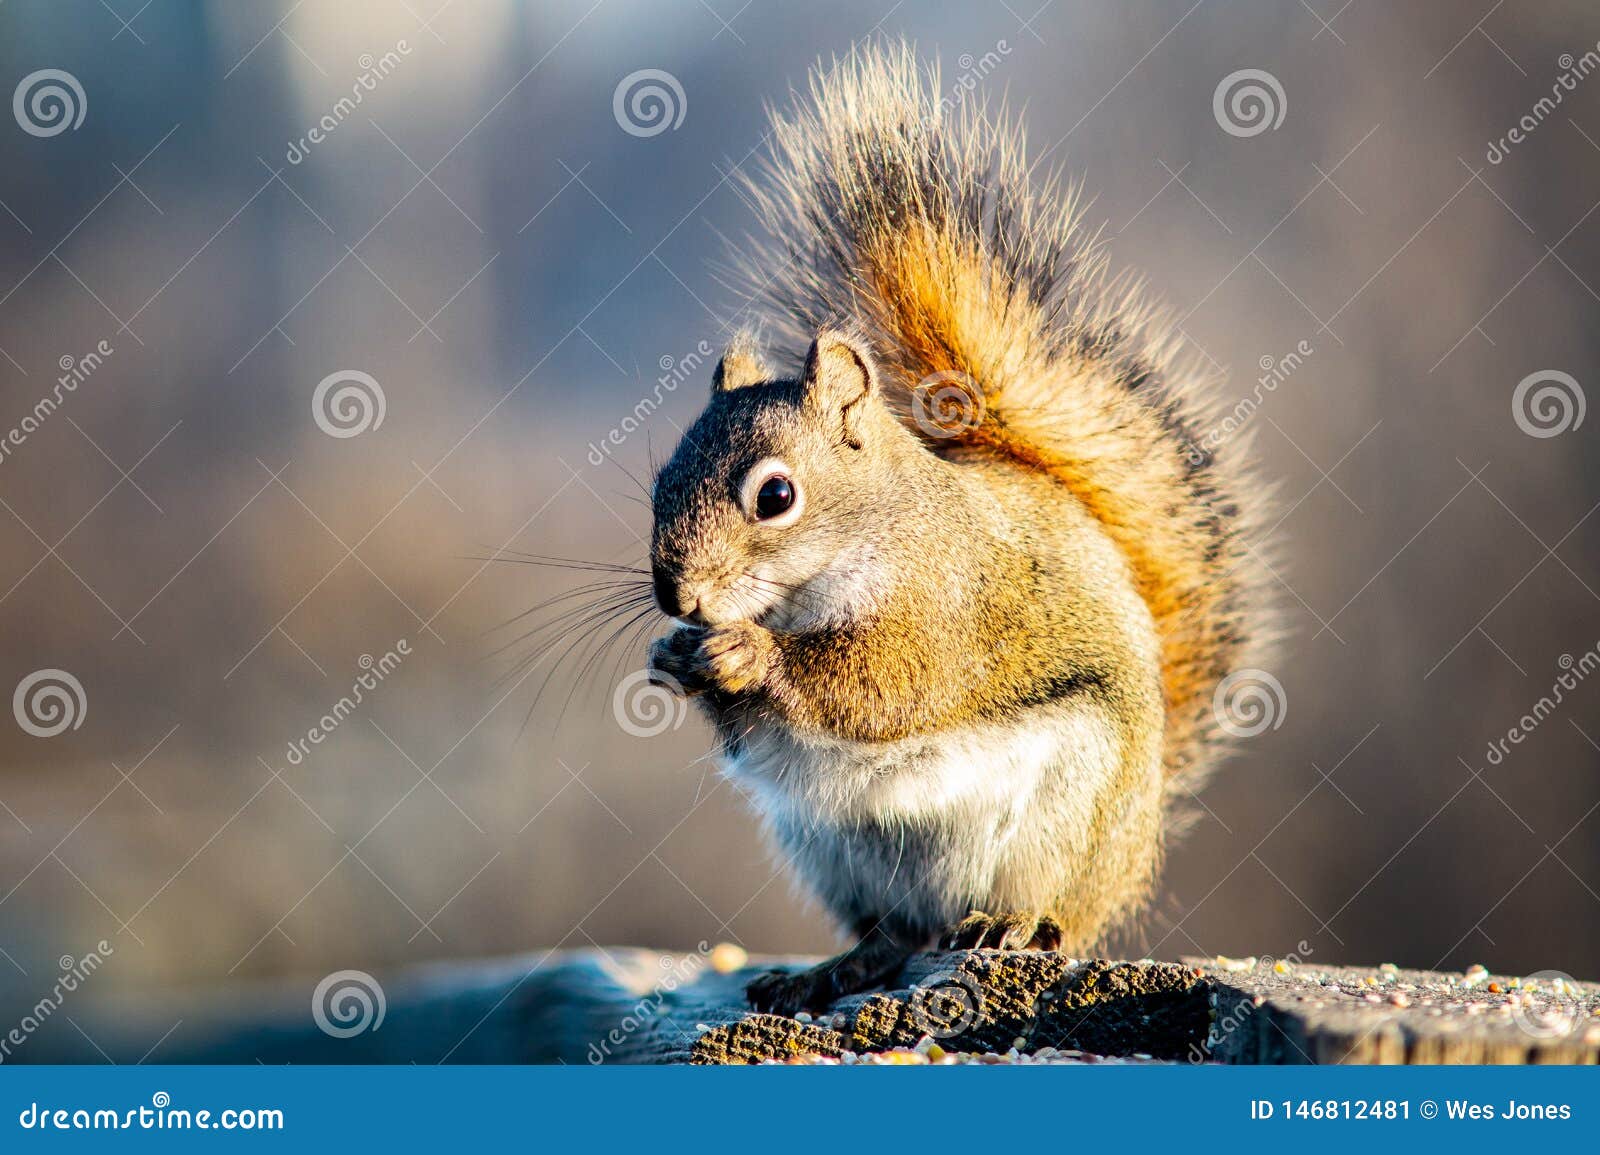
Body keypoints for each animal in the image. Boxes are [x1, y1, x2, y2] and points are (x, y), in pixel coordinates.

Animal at [644, 42, 1272, 1016]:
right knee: (896, 930)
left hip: (1065, 819)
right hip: (837, 851)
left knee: (1053, 914)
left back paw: (1012, 924)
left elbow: (887, 683)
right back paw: (841, 964)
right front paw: (678, 656)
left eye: (776, 495)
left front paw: (751, 655)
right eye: (659, 482)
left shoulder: (950, 599)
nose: (678, 594)